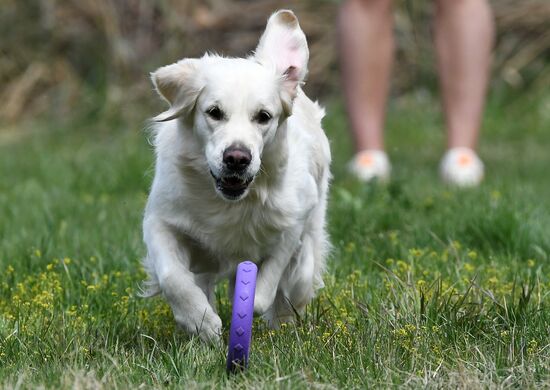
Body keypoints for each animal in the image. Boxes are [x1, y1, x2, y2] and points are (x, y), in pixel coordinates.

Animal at [142, 9, 332, 342]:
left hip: (310, 233)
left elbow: (264, 289)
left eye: (264, 117)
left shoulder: (292, 221)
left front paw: (243, 304)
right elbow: (172, 276)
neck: (229, 202)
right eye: (214, 112)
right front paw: (200, 320)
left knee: (297, 284)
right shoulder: (160, 219)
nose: (237, 158)